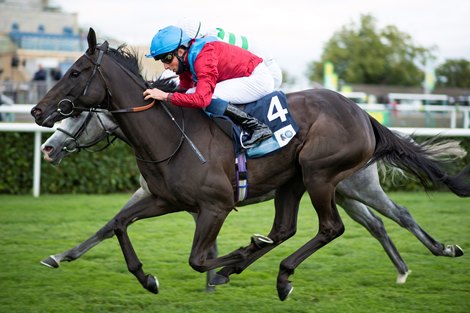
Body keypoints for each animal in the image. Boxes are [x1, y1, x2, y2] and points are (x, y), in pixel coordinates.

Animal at [30, 29, 470, 300]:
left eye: (74, 72)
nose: (37, 114)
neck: (171, 135)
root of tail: (362, 113)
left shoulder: (215, 205)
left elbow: (198, 257)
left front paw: (222, 270)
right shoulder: (164, 198)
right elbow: (118, 224)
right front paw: (147, 277)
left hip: (323, 176)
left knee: (342, 225)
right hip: (305, 183)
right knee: (301, 228)